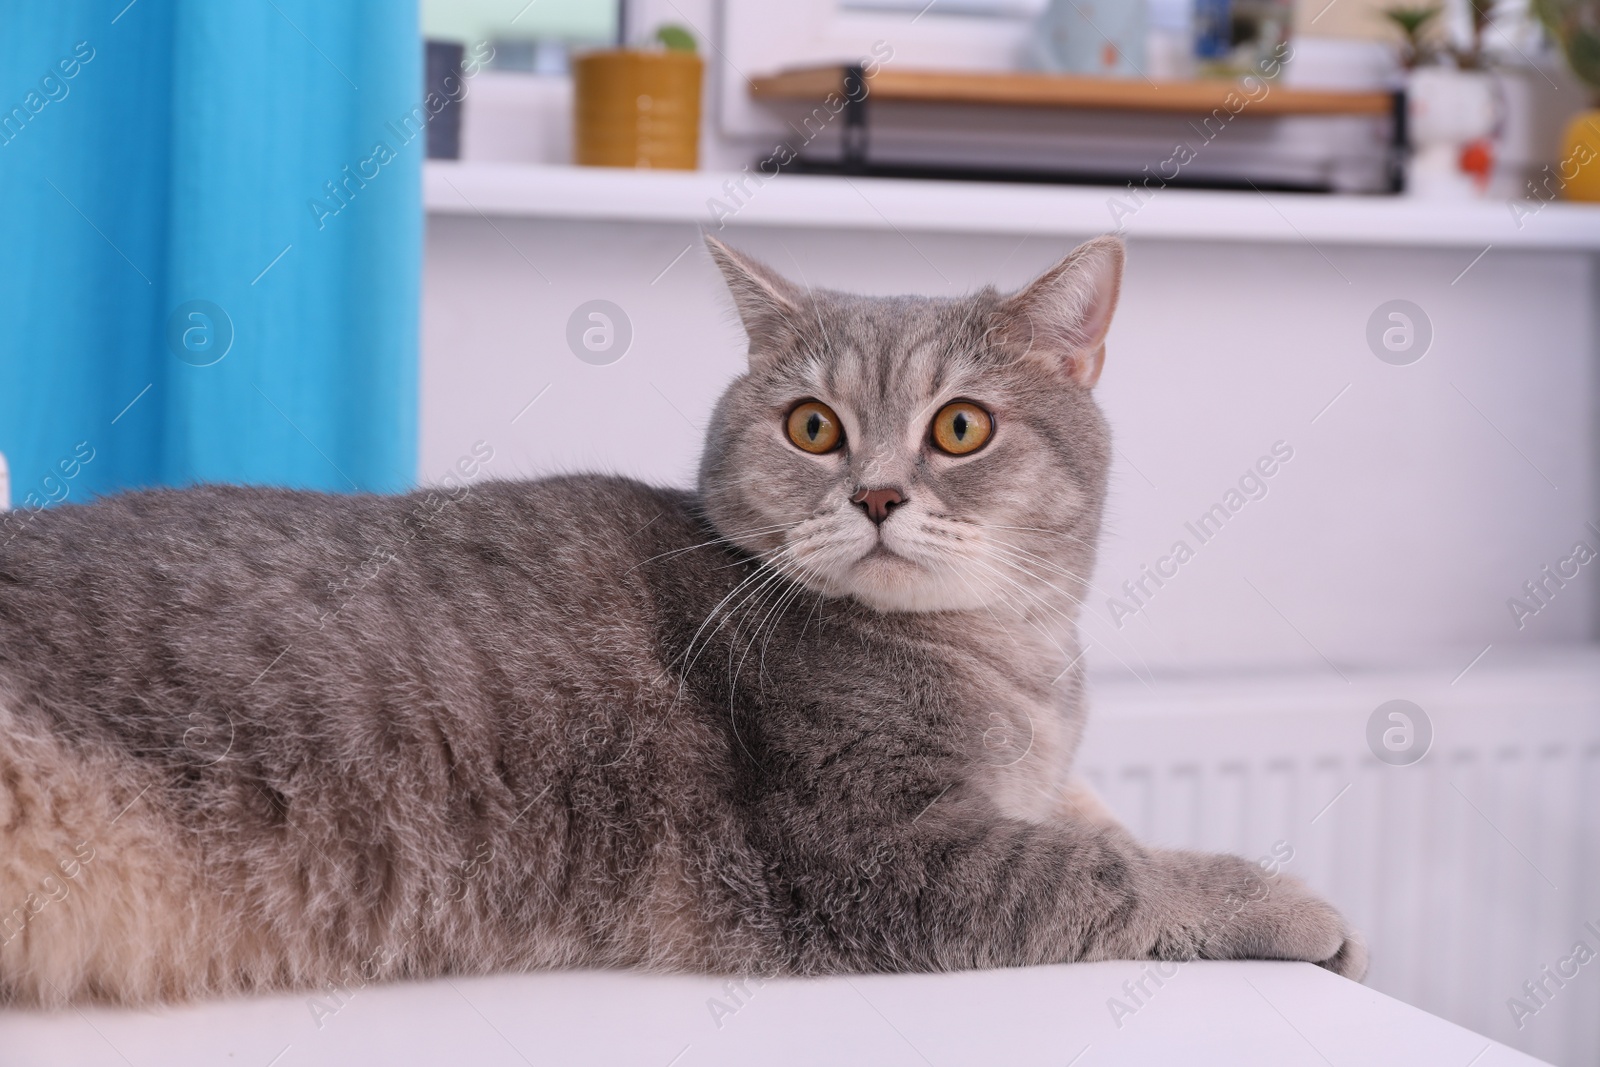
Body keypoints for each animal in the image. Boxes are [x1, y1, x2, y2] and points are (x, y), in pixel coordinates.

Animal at [0, 235, 1363, 1011]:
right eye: (812, 425)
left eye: (960, 425)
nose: (877, 494)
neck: (1008, 662)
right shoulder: (877, 859)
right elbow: (1118, 867)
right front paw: (1299, 906)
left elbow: (1097, 819)